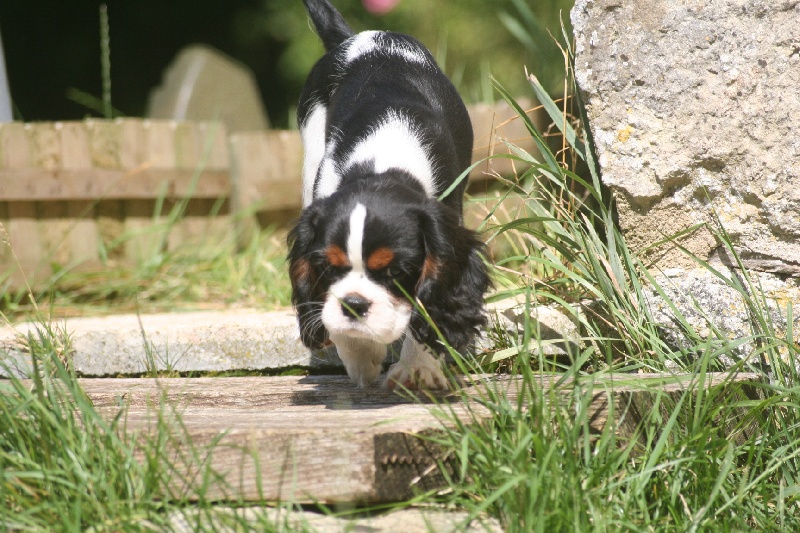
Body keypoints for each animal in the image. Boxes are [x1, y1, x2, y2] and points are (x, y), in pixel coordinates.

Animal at [288, 1, 488, 390]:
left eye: (395, 271)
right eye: (327, 268)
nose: (354, 304)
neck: (383, 166)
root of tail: (360, 36)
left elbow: (427, 303)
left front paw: (417, 368)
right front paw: (360, 355)